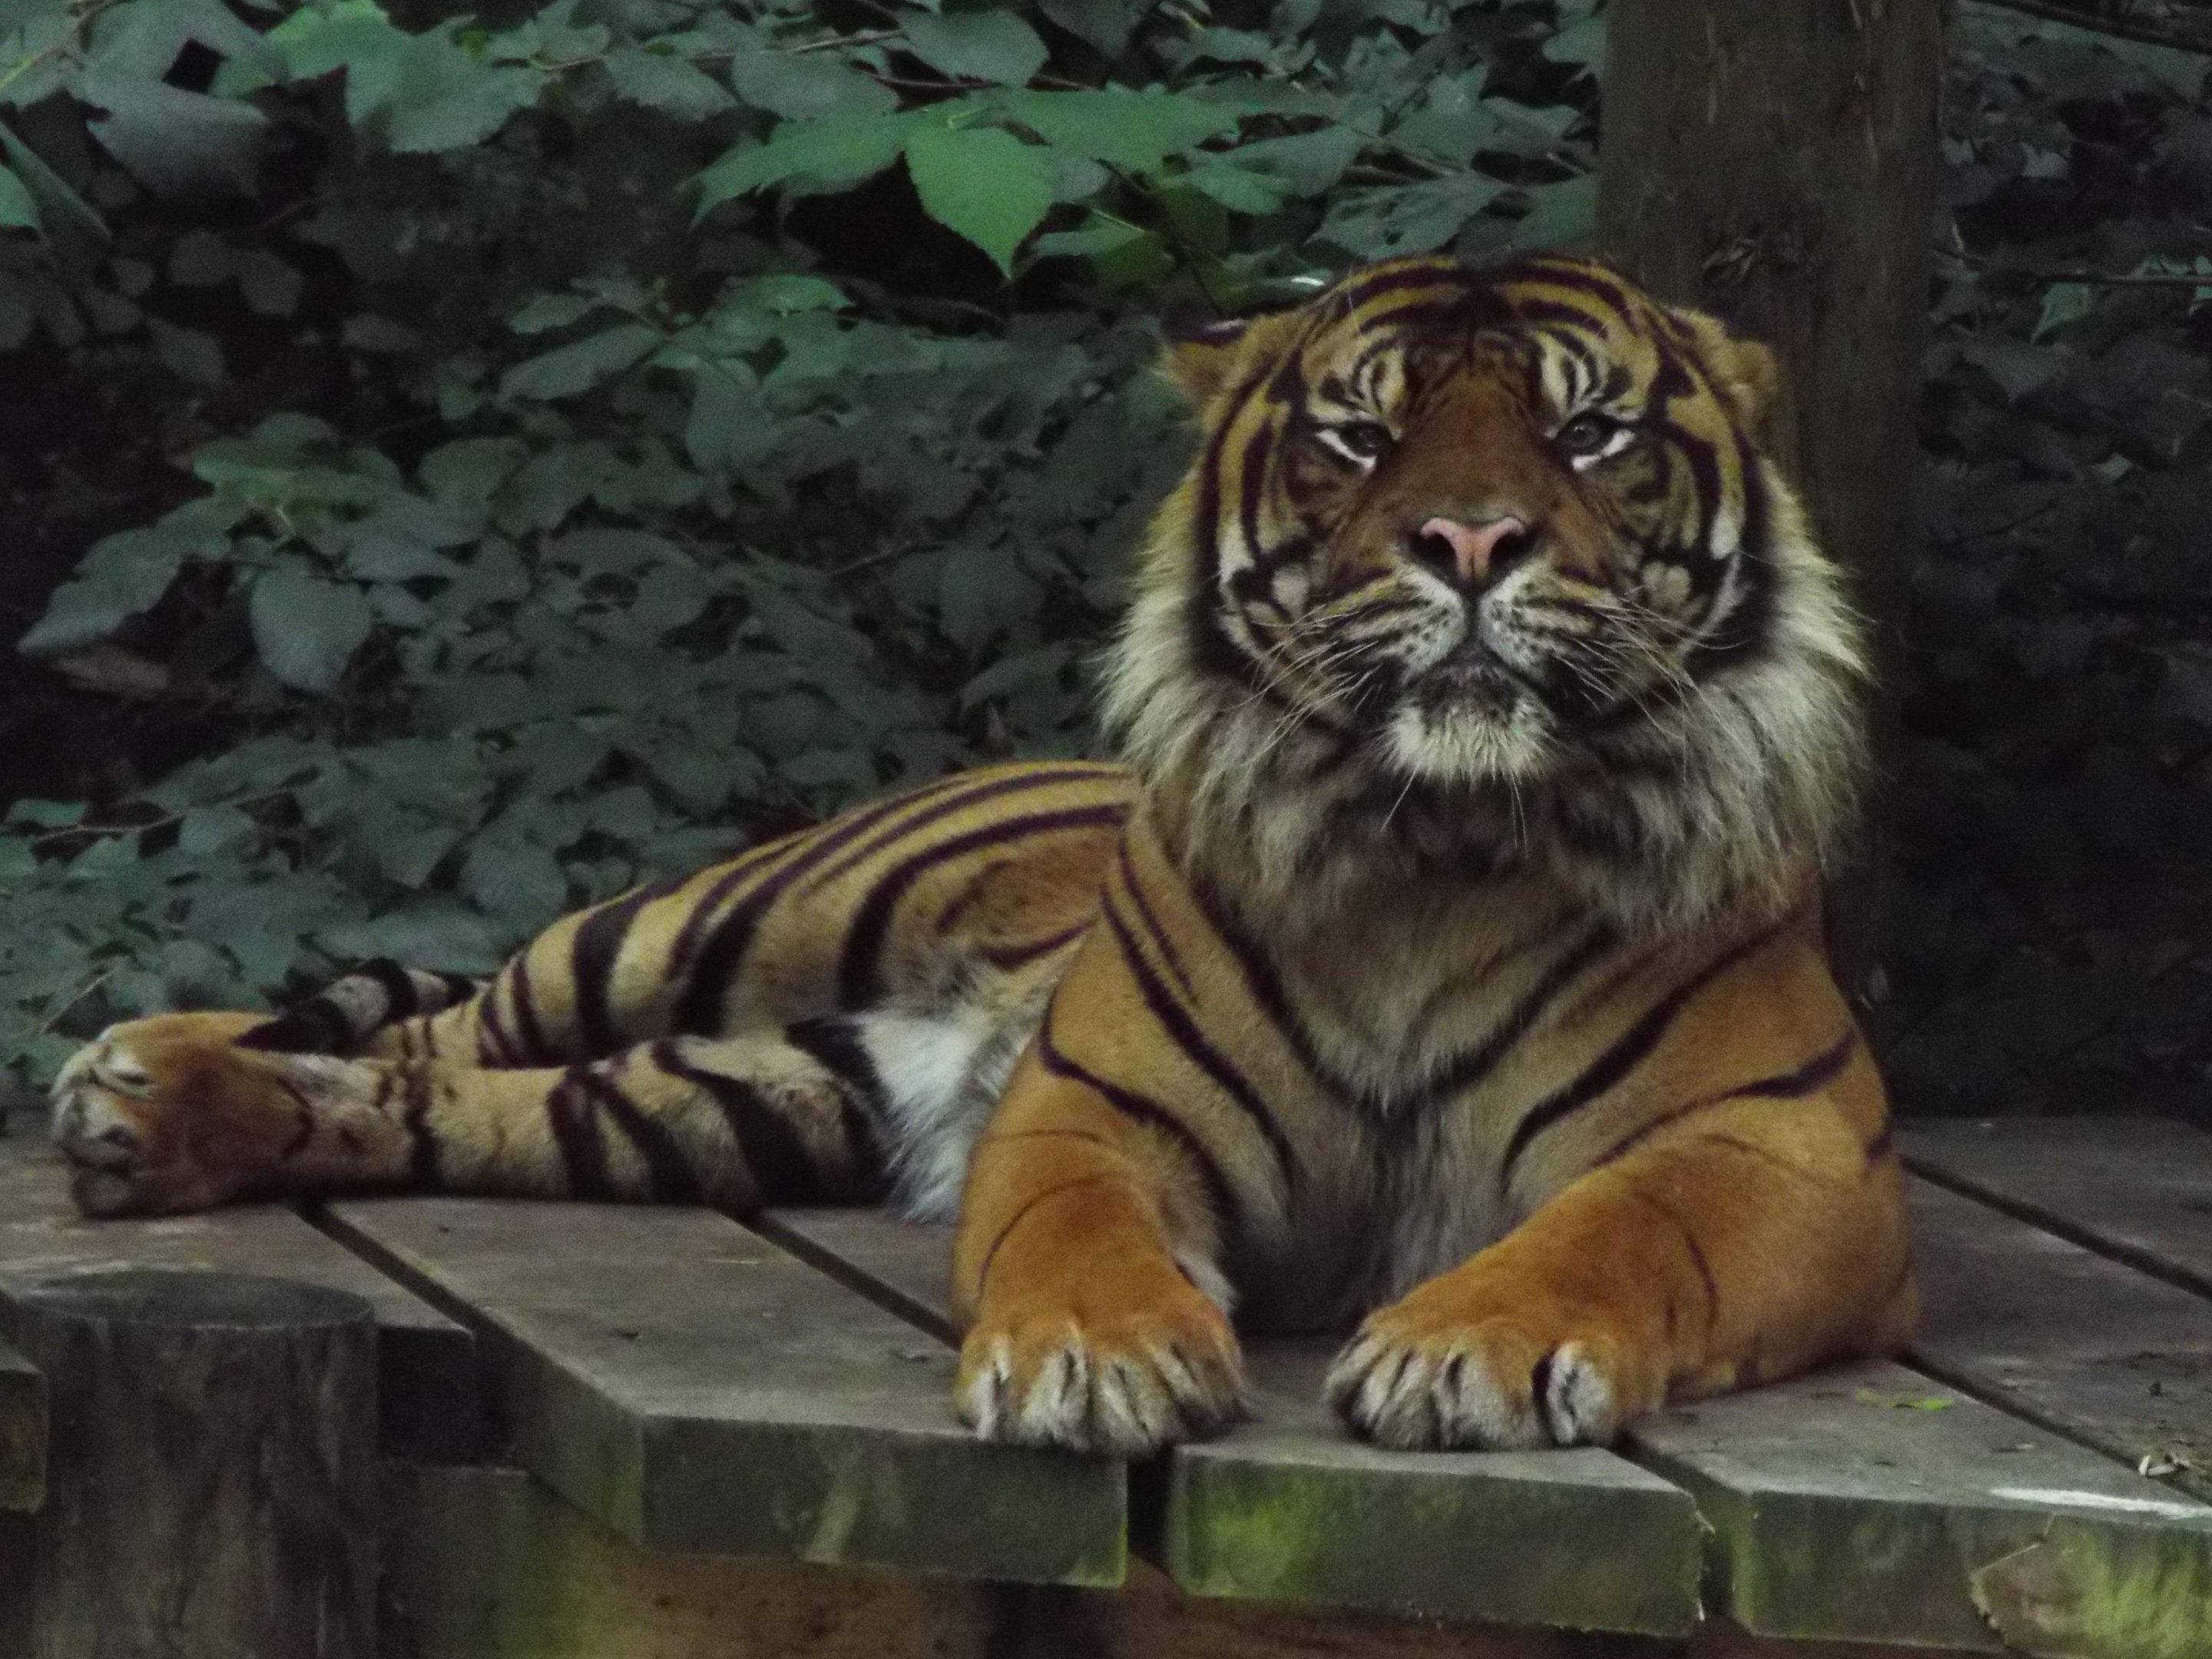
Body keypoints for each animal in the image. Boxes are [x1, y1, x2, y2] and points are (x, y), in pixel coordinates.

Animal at [47, 252, 1913, 1457]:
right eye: (1359, 437)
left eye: (1591, 436)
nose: (1469, 538)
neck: (1438, 846)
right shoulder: (1093, 1107)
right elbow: (1068, 1230)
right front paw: (1094, 1358)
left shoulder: (1781, 1147)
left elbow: (1612, 1230)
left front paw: (1468, 1348)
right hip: (702, 928)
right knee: (450, 1017)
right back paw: (135, 1073)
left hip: (751, 1093)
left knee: (448, 1097)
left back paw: (164, 1122)